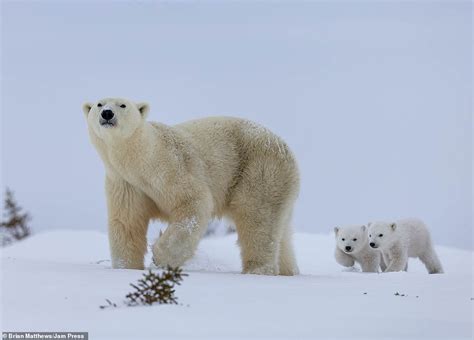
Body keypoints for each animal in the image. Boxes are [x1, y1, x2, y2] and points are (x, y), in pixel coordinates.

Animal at [83, 97, 298, 274]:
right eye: (99, 104)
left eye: (122, 105)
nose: (107, 113)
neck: (141, 161)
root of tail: (287, 151)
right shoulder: (125, 183)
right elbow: (127, 223)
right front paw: (126, 268)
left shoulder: (170, 167)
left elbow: (193, 202)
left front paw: (159, 256)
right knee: (281, 233)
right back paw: (289, 271)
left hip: (260, 171)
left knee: (258, 219)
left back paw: (257, 270)